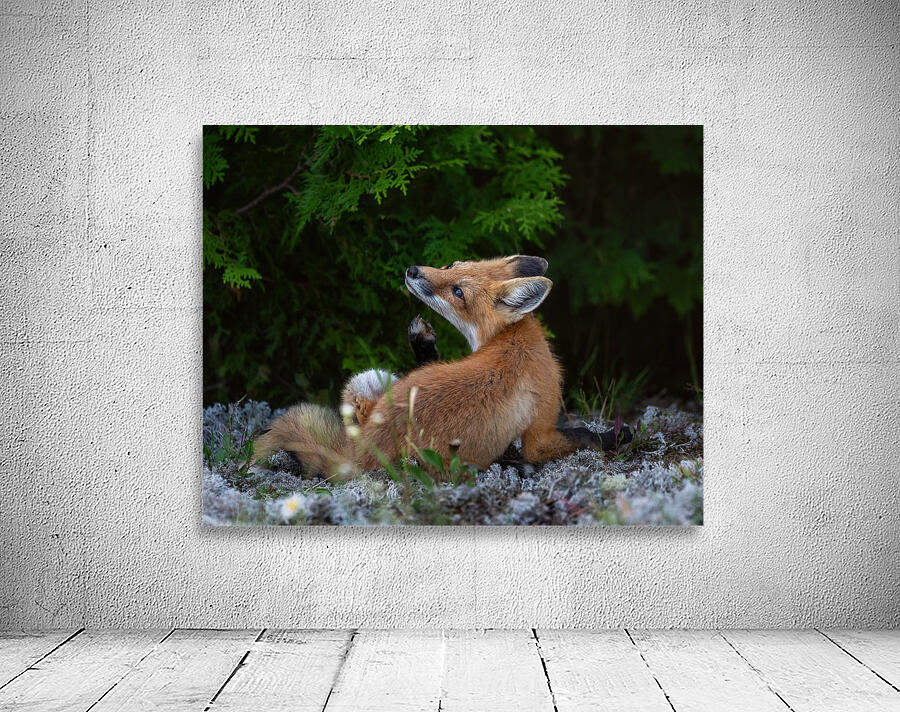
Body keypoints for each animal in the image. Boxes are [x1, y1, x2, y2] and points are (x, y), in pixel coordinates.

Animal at [253, 255, 630, 479]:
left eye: (458, 291)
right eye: (451, 265)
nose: (413, 270)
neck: (513, 339)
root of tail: (359, 456)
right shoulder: (541, 435)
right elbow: (581, 436)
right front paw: (615, 435)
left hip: (372, 380)